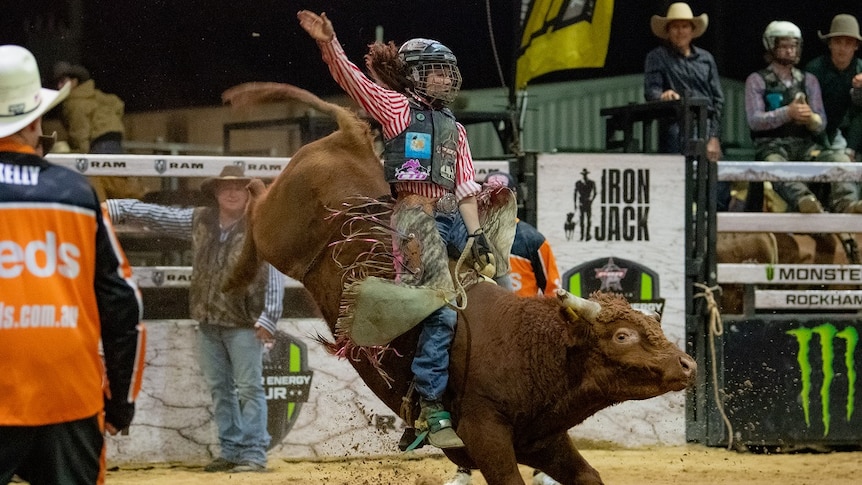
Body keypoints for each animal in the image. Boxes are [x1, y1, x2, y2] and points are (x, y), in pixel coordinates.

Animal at [223, 84, 696, 484]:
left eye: (652, 325)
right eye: (623, 335)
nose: (688, 365)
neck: (534, 344)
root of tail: (348, 137)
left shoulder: (544, 439)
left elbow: (588, 476)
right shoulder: (484, 431)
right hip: (277, 232)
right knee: (254, 200)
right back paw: (233, 274)